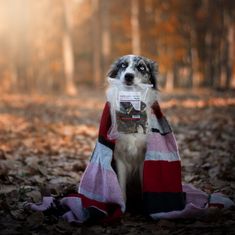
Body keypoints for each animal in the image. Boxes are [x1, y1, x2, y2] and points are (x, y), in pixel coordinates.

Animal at [106, 55, 158, 211]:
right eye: (123, 65)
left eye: (141, 67)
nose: (129, 76)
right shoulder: (119, 157)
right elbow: (120, 185)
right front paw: (122, 207)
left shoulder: (143, 157)